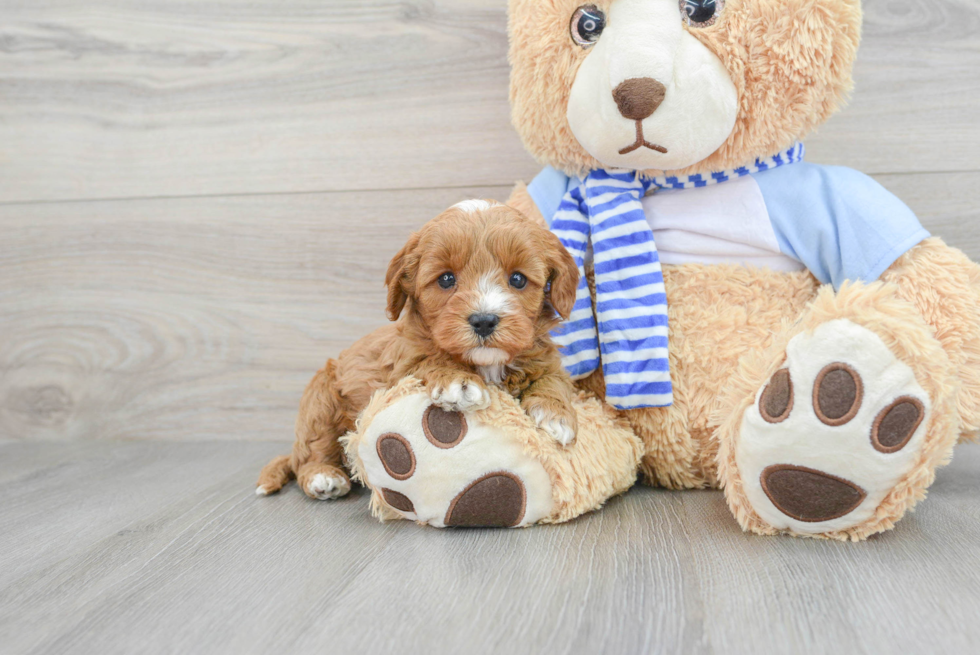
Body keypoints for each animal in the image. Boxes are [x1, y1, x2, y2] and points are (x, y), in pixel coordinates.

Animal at [256, 200, 584, 502]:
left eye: (518, 279)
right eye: (446, 279)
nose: (484, 320)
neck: (487, 364)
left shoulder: (544, 359)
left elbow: (553, 378)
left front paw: (555, 415)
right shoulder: (401, 366)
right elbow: (429, 360)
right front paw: (457, 381)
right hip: (320, 402)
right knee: (310, 451)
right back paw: (323, 477)